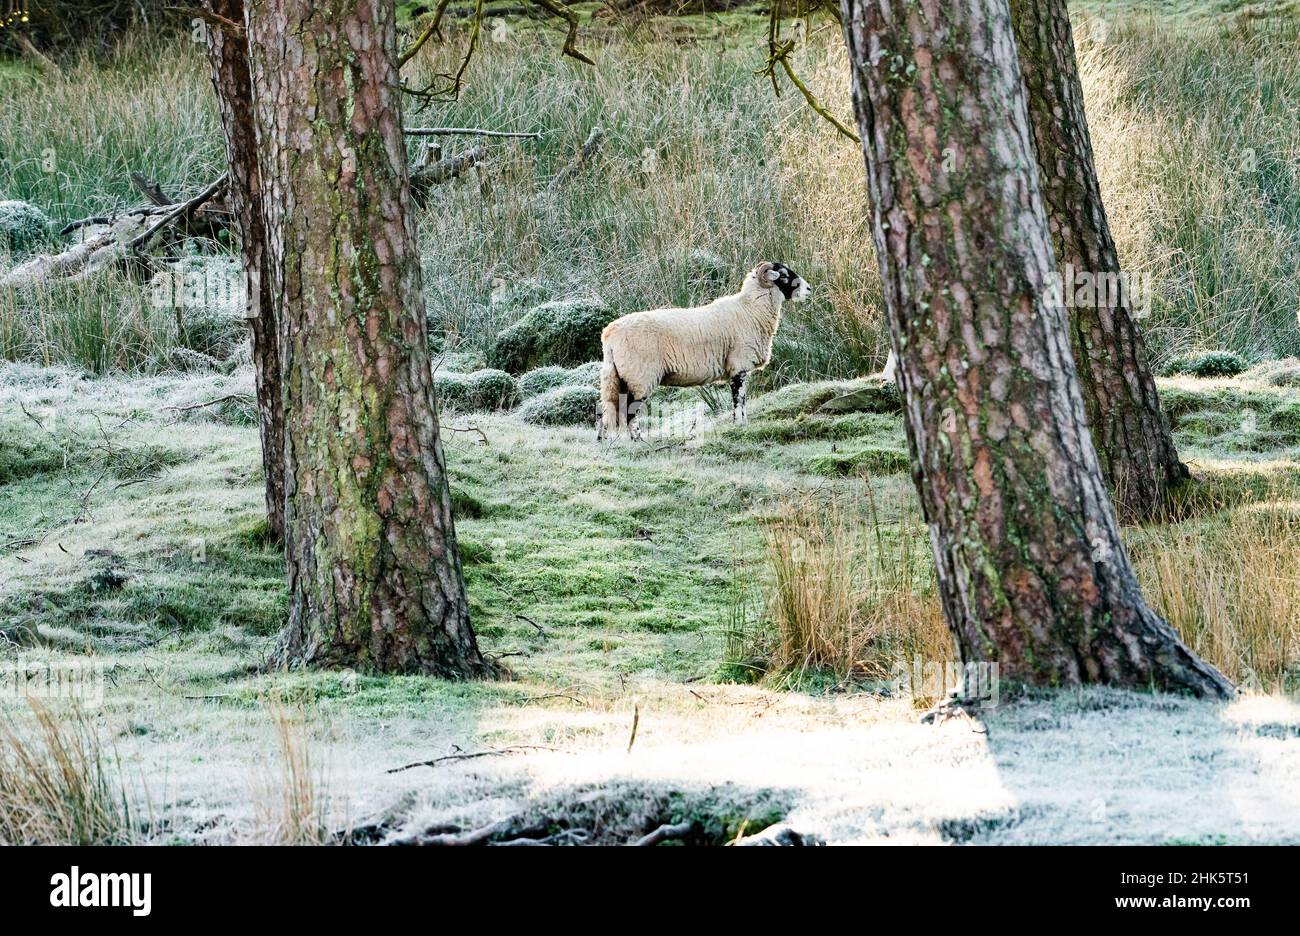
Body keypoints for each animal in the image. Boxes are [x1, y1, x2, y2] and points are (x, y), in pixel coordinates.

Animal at [595, 261, 806, 439]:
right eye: (783, 275)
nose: (808, 289)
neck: (751, 309)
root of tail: (609, 334)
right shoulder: (738, 366)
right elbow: (739, 399)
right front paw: (740, 425)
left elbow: (741, 400)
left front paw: (741, 424)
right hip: (640, 376)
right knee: (630, 411)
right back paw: (637, 440)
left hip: (618, 377)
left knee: (610, 409)